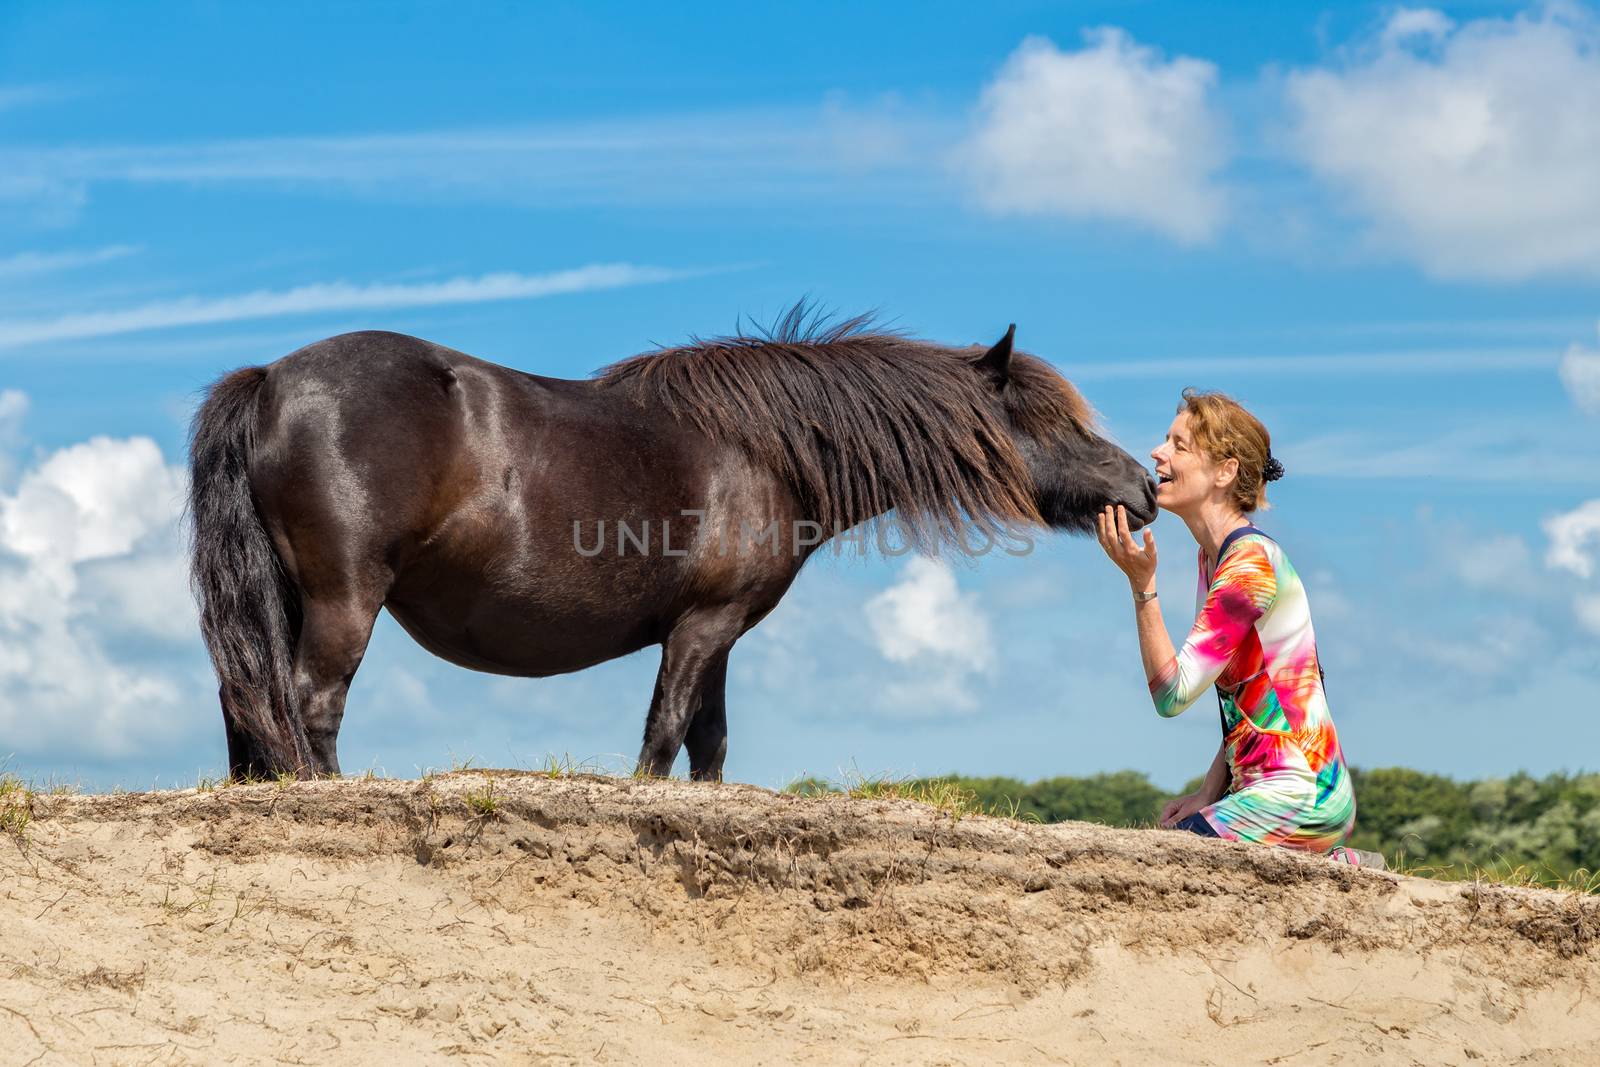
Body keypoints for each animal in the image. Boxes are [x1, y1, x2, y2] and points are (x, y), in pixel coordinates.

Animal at [193, 308, 1158, 777]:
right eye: (1051, 422)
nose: (1143, 486)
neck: (766, 451)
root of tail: (271, 378)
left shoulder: (717, 632)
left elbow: (709, 744)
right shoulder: (699, 628)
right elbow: (663, 737)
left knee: (249, 702)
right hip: (345, 597)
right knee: (310, 703)